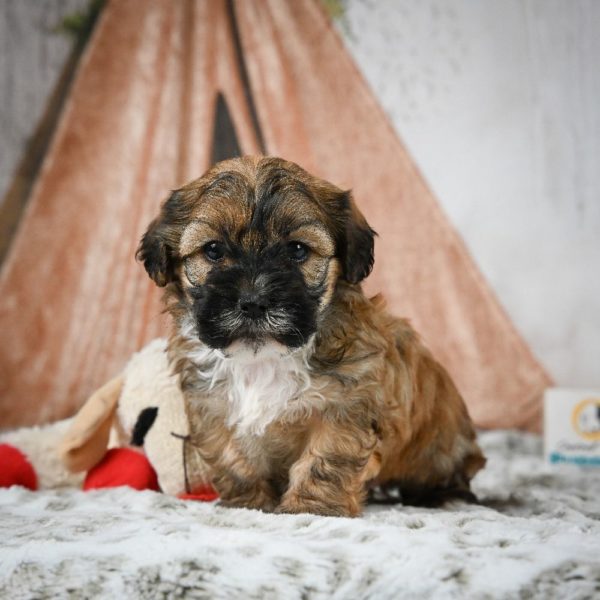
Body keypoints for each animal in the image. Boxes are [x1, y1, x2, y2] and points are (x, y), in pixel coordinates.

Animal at [138, 156, 486, 516]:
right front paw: (248, 504)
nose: (253, 301)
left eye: (297, 250)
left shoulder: (345, 406)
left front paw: (311, 507)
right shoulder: (214, 408)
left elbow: (324, 460)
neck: (263, 360)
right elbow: (234, 461)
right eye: (213, 250)